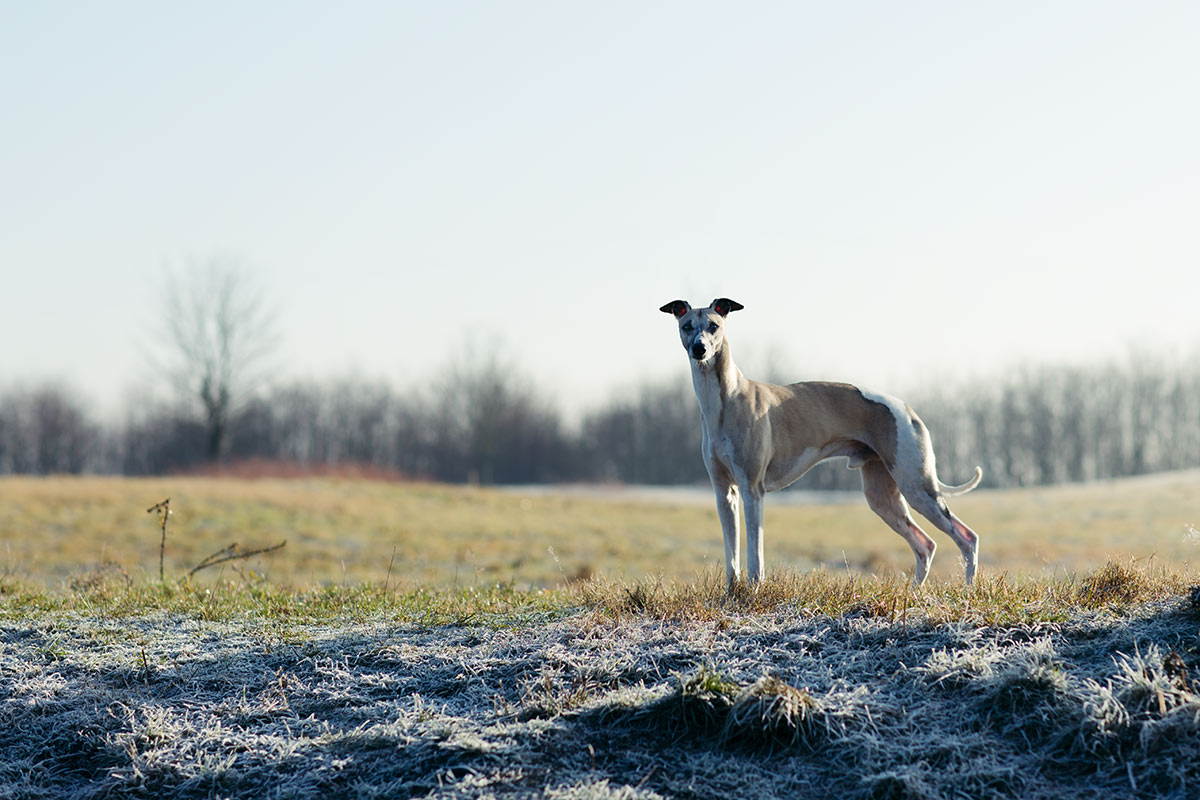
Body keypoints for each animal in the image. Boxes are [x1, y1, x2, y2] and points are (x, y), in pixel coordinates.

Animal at [657, 299, 984, 587]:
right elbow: (731, 553)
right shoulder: (724, 492)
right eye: (687, 326)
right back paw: (914, 593)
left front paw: (754, 590)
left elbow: (755, 555)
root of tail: (907, 408)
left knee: (966, 537)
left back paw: (968, 589)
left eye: (714, 326)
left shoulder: (752, 490)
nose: (700, 349)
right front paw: (732, 592)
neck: (725, 399)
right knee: (925, 544)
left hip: (917, 486)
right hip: (884, 497)